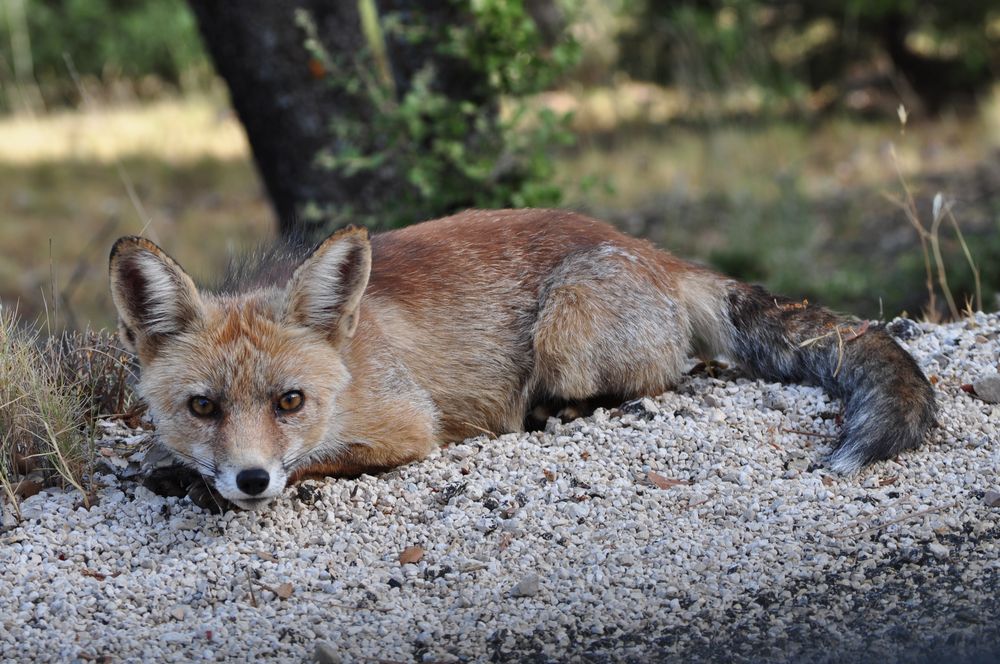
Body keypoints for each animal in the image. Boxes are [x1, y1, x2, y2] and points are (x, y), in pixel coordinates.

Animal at [109, 210, 936, 510]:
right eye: (203, 406)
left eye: (290, 402)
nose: (250, 479)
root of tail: (655, 252)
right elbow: (167, 459)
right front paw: (177, 471)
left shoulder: (408, 427)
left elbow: (320, 460)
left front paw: (213, 489)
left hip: (564, 338)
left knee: (662, 379)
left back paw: (553, 415)